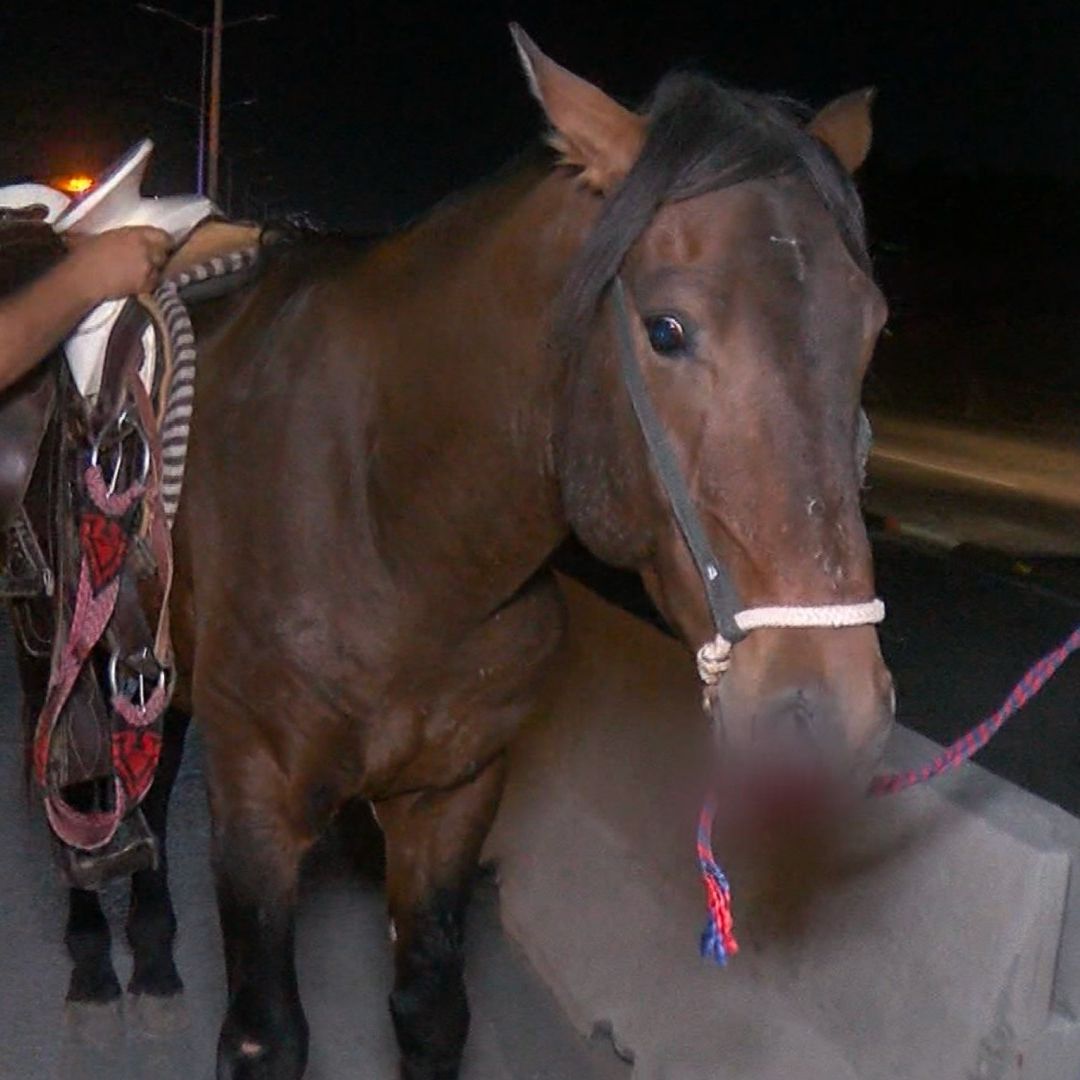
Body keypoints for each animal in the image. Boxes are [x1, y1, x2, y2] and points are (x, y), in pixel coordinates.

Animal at [7, 26, 894, 1079]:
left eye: (870, 330)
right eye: (667, 330)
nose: (825, 705)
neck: (393, 528)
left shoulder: (455, 794)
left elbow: (431, 1008)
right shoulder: (258, 799)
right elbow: (268, 1033)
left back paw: (149, 954)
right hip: (50, 640)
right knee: (75, 776)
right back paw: (94, 962)